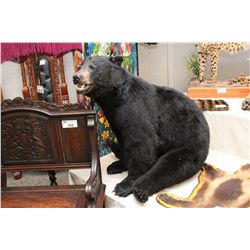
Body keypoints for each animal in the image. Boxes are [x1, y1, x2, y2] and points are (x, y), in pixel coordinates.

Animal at [73, 55, 210, 203]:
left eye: (92, 67)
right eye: (80, 66)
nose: (76, 77)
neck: (114, 99)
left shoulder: (136, 109)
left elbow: (142, 144)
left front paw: (126, 183)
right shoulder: (115, 119)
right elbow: (124, 143)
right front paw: (119, 164)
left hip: (190, 144)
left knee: (171, 166)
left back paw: (139, 189)